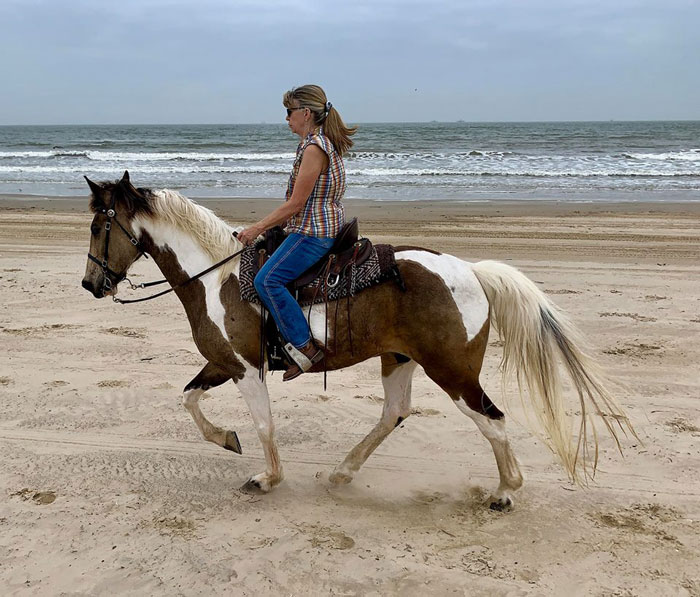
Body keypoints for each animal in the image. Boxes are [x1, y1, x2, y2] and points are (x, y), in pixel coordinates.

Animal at [79, 171, 632, 508]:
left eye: (99, 227)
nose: (90, 284)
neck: (217, 277)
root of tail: (471, 271)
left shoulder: (246, 370)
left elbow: (263, 424)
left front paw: (267, 477)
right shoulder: (225, 363)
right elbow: (190, 400)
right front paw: (226, 439)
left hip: (453, 373)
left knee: (492, 422)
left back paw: (505, 492)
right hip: (400, 358)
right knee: (395, 413)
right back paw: (344, 472)